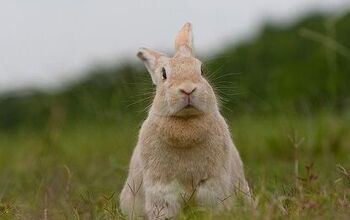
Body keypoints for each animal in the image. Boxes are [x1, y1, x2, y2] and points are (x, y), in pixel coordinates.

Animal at [119, 22, 250, 220]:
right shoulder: (162, 190)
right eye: (164, 74)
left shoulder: (212, 185)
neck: (186, 122)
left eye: (202, 70)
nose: (188, 89)